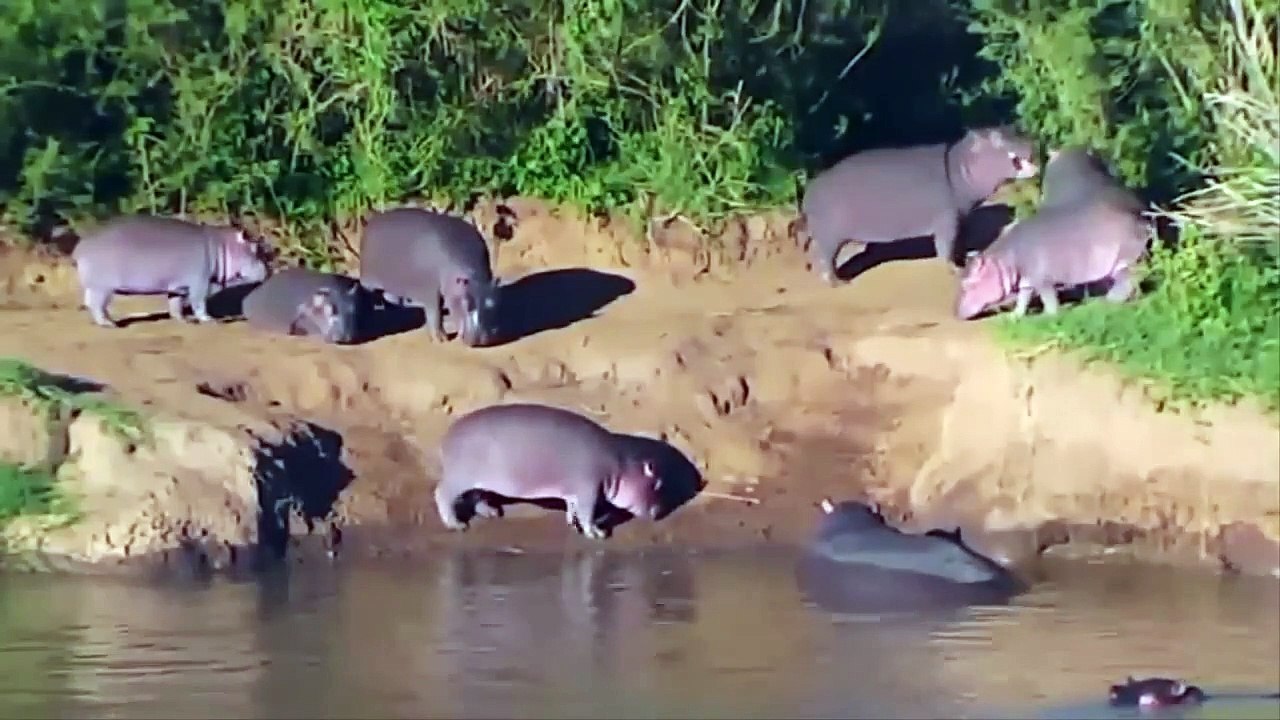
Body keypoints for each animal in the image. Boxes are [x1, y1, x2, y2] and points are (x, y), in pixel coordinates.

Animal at [71, 215, 270, 327]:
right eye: (255, 248)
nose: (269, 270)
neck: (222, 245)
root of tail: (81, 246)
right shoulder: (200, 282)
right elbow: (199, 302)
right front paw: (208, 320)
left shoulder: (177, 287)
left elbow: (175, 304)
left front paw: (183, 320)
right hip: (103, 287)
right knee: (97, 305)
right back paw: (109, 324)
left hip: (96, 286)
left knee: (90, 303)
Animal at [359, 207, 501, 347]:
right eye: (466, 304)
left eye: (492, 303)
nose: (480, 340)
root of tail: (371, 222)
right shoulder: (430, 291)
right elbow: (435, 313)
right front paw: (441, 340)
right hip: (369, 280)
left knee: (391, 297)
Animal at [434, 403, 664, 540]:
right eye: (657, 483)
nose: (658, 513)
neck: (621, 465)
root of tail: (447, 435)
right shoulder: (589, 490)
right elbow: (587, 513)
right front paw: (597, 533)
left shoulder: (575, 490)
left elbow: (572, 507)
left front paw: (572, 524)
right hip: (460, 476)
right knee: (443, 494)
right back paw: (457, 525)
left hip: (477, 478)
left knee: (476, 494)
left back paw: (492, 512)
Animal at [800, 126, 1039, 284]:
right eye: (996, 138)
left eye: (1010, 128)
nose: (1031, 140)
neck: (961, 164)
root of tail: (809, 191)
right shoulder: (947, 220)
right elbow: (945, 246)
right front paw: (956, 270)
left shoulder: (960, 217)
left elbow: (959, 241)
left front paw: (967, 256)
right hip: (831, 235)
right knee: (827, 259)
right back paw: (839, 282)